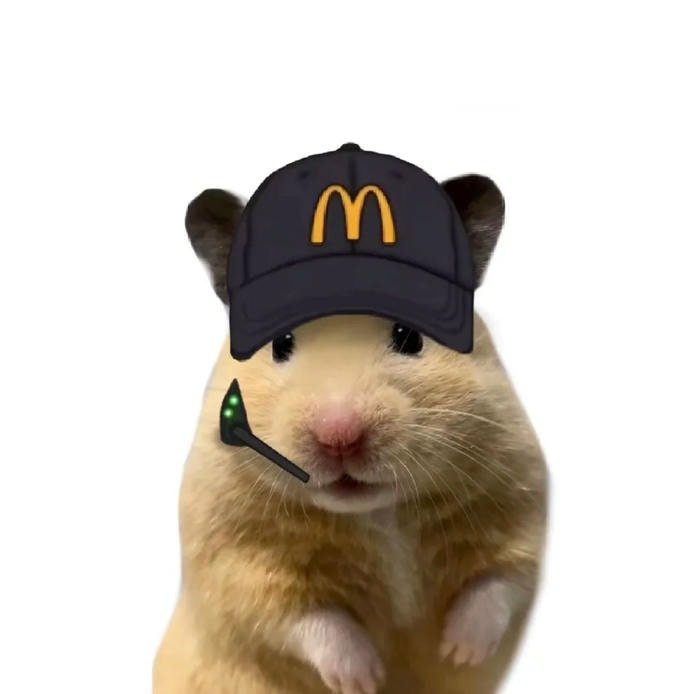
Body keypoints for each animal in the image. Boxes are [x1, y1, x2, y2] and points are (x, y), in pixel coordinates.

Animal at [154, 174, 548, 694]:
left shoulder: (519, 502)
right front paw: (364, 678)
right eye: (281, 344)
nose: (339, 438)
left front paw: (458, 652)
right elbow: (306, 617)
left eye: (408, 337)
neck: (377, 513)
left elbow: (498, 582)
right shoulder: (236, 556)